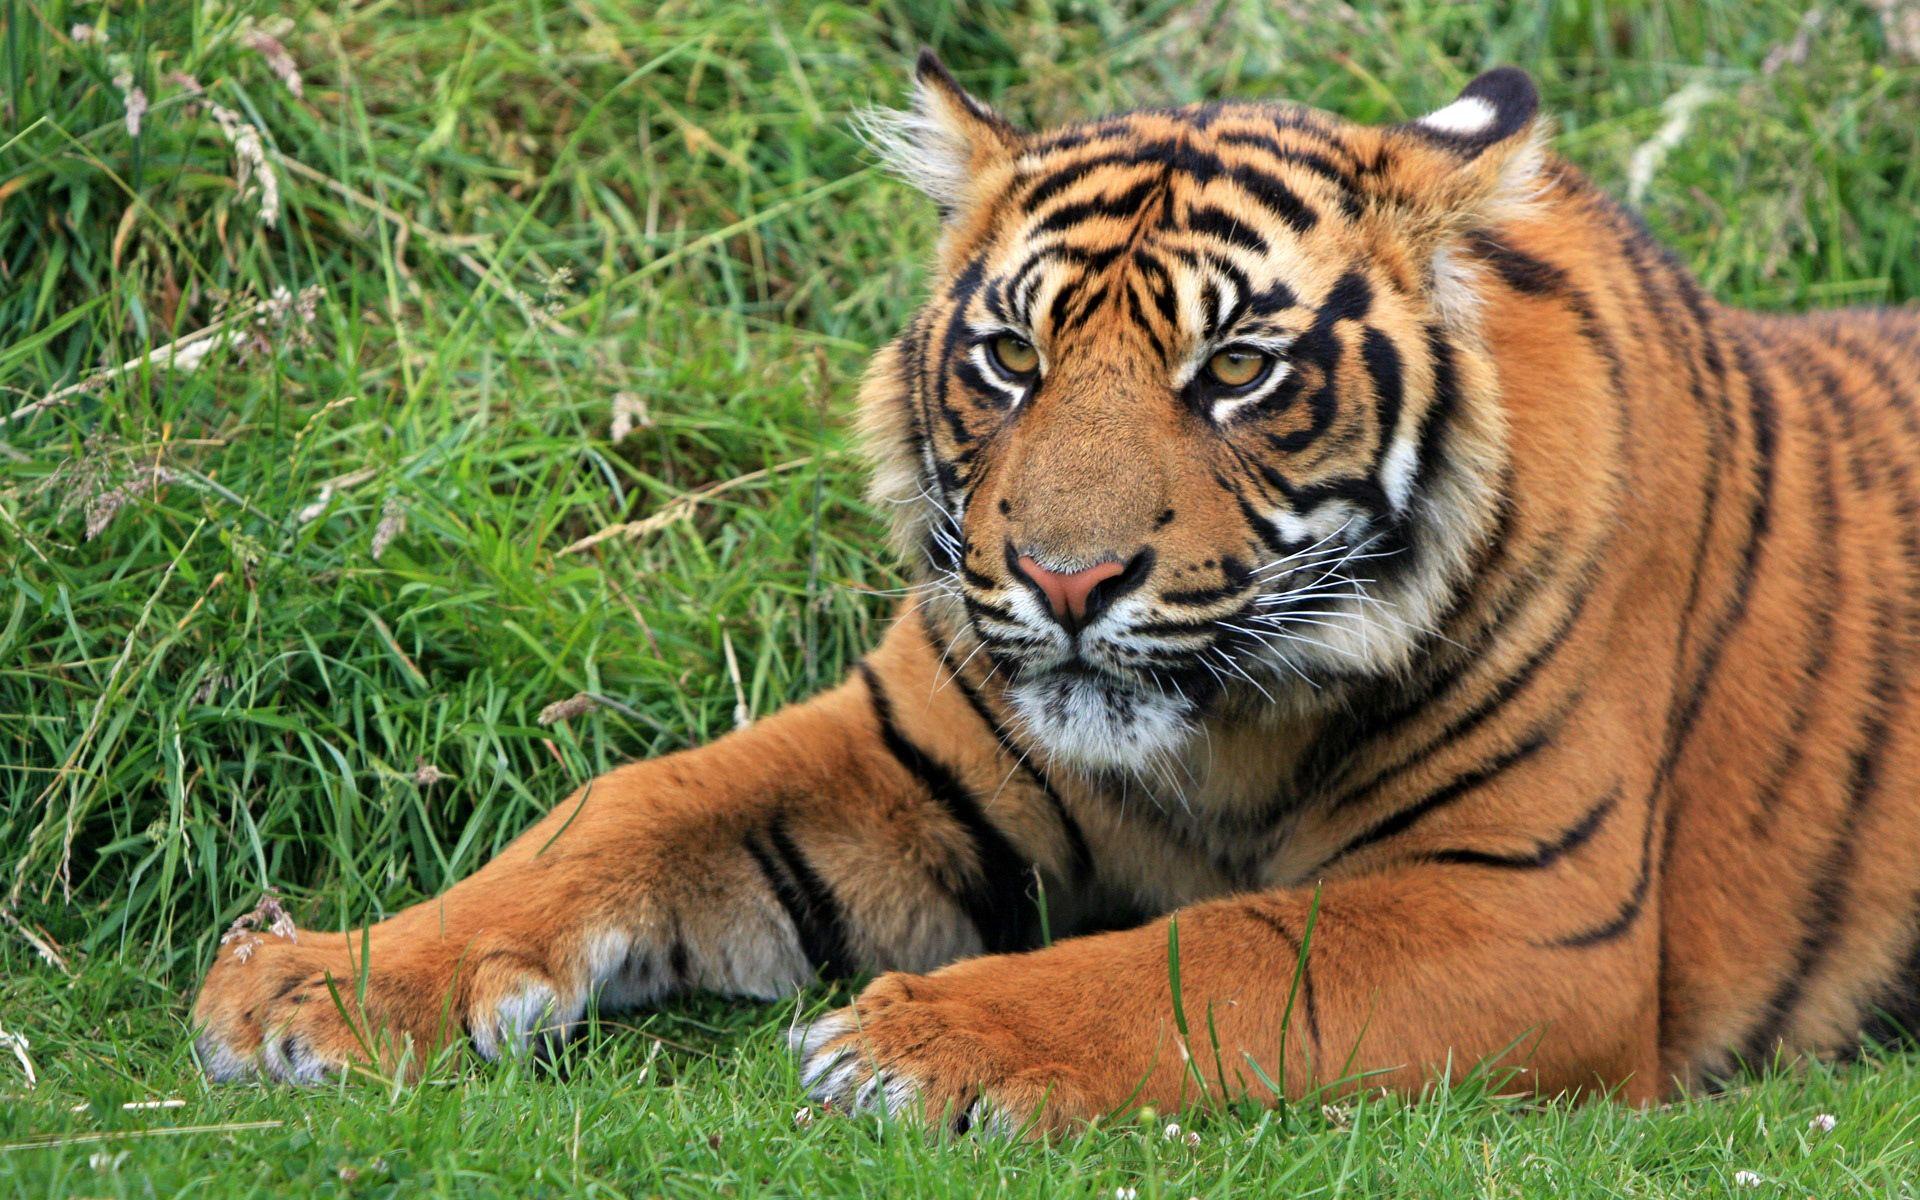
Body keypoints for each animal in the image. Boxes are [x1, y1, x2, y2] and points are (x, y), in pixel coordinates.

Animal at [191, 53, 1920, 1132]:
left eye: (1236, 370)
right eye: (1012, 356)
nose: (1067, 578)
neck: (1219, 737)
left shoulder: (1530, 910)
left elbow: (1222, 952)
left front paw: (918, 1039)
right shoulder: (899, 749)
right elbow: (619, 809)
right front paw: (313, 983)